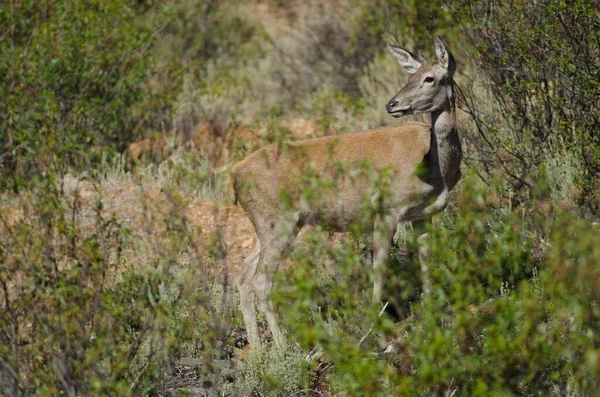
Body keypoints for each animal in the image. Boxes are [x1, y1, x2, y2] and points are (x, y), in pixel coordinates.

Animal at [232, 37, 462, 346]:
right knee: (261, 280)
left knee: (244, 276)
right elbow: (379, 267)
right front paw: (374, 328)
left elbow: (426, 261)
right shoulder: (387, 208)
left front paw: (430, 314)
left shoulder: (422, 214)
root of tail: (235, 178)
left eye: (429, 77)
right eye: (411, 75)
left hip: (271, 225)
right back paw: (283, 347)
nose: (392, 104)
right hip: (277, 221)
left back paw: (258, 349)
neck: (436, 170)